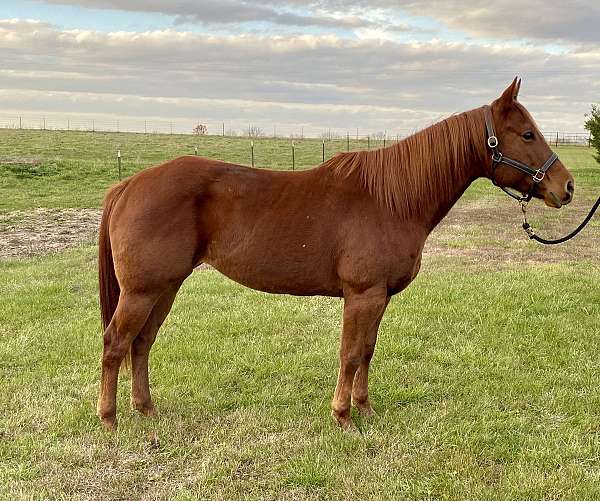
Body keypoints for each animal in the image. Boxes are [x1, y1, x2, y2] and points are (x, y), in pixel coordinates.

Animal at [96, 79, 576, 430]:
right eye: (527, 133)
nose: (566, 187)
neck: (391, 200)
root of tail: (129, 185)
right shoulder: (362, 294)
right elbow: (350, 353)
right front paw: (343, 417)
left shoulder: (379, 297)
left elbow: (367, 351)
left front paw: (364, 409)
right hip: (142, 291)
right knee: (116, 342)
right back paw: (110, 419)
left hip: (165, 287)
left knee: (141, 343)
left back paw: (146, 410)